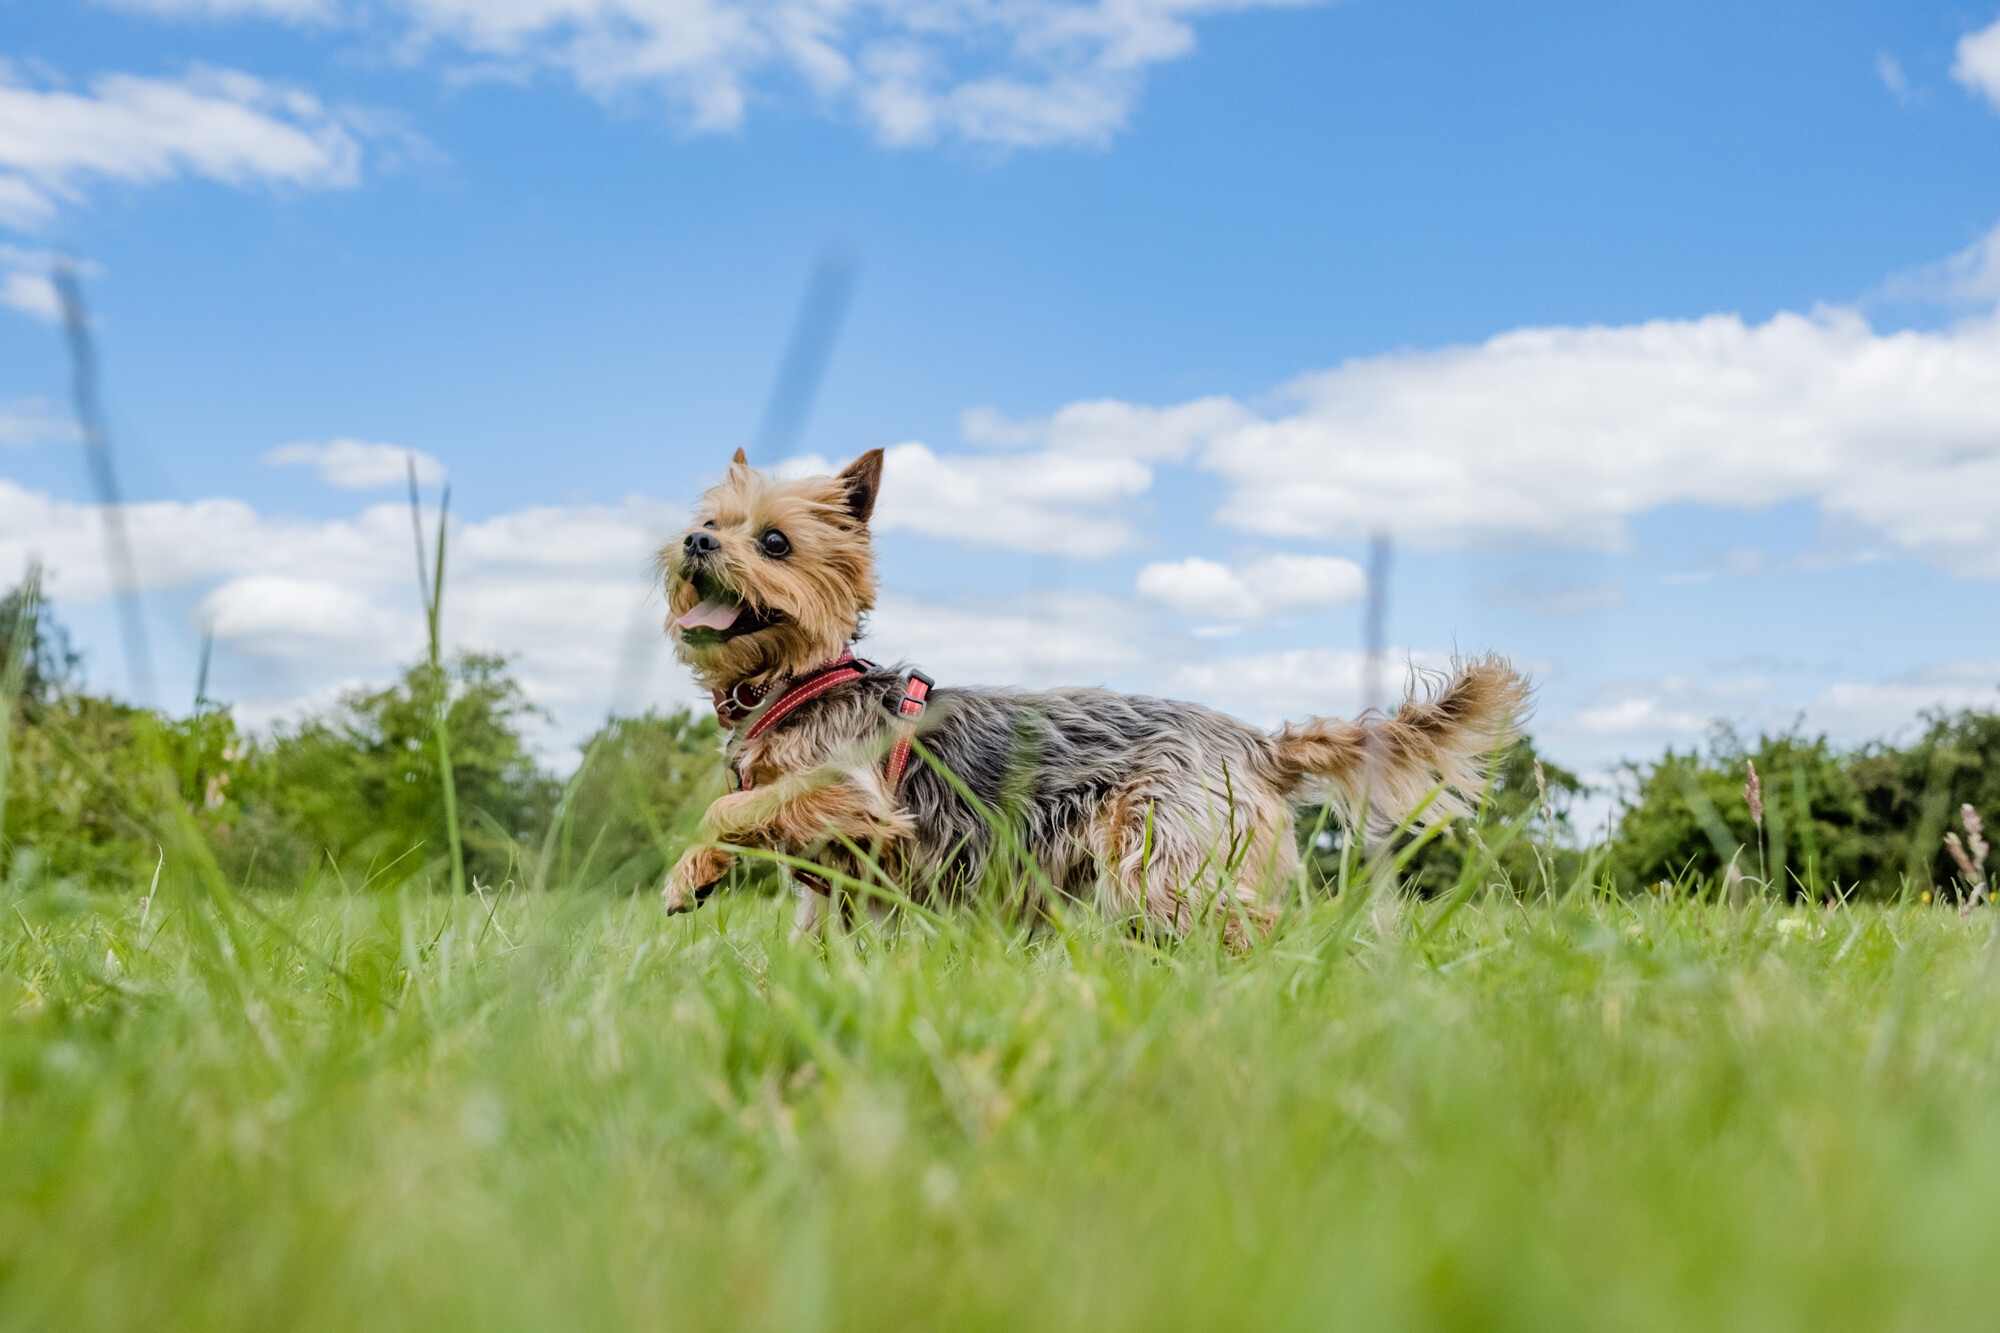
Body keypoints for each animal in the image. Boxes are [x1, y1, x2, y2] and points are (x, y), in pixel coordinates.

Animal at [664, 446, 1520, 932]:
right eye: (711, 521)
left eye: (775, 542)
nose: (694, 540)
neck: (793, 682)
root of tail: (1255, 741)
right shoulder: (843, 882)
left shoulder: (858, 796)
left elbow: (732, 806)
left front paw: (690, 869)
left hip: (1161, 851)